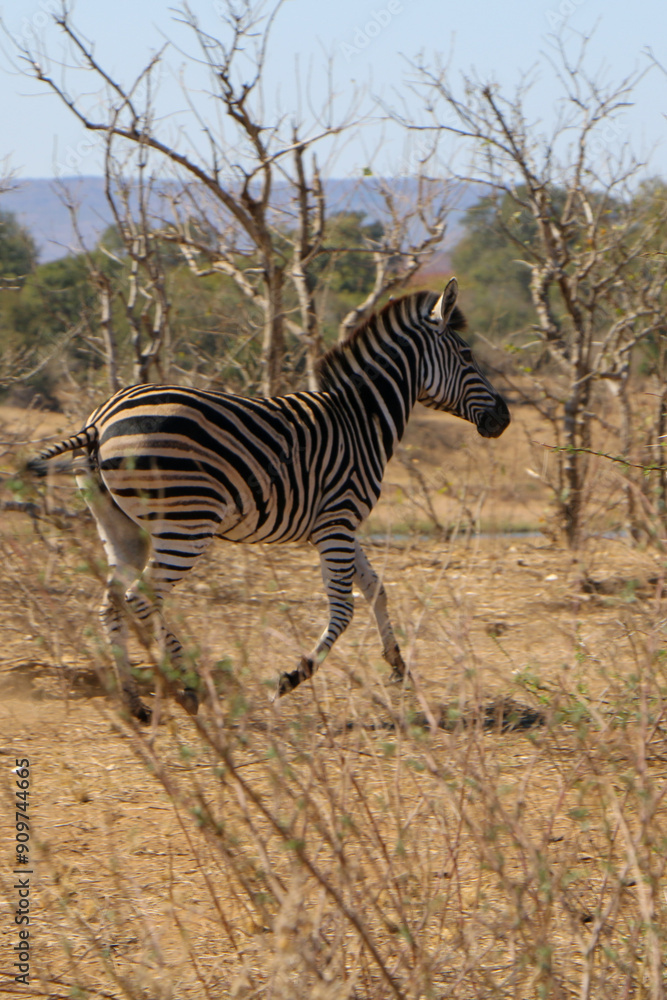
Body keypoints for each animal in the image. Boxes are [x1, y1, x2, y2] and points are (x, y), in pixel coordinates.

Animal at [32, 278, 509, 722]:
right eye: (468, 356)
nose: (503, 419)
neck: (362, 418)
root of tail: (99, 421)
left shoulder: (340, 522)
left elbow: (376, 589)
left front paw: (397, 665)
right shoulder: (338, 521)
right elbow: (343, 609)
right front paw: (293, 676)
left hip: (121, 526)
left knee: (113, 604)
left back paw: (135, 703)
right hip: (186, 525)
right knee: (141, 599)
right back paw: (189, 688)